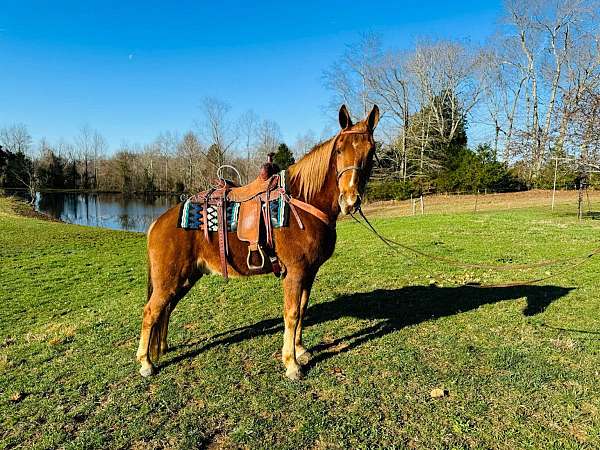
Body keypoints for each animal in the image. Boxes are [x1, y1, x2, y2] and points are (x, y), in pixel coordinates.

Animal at [137, 103, 380, 378]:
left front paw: (301, 350)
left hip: (185, 278)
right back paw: (146, 363)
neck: (302, 203)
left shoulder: (309, 272)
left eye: (371, 151)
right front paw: (291, 363)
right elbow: (292, 314)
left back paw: (161, 349)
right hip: (169, 280)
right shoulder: (295, 272)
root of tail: (158, 222)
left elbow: (303, 309)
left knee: (165, 309)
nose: (350, 199)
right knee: (150, 312)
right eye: (339, 150)